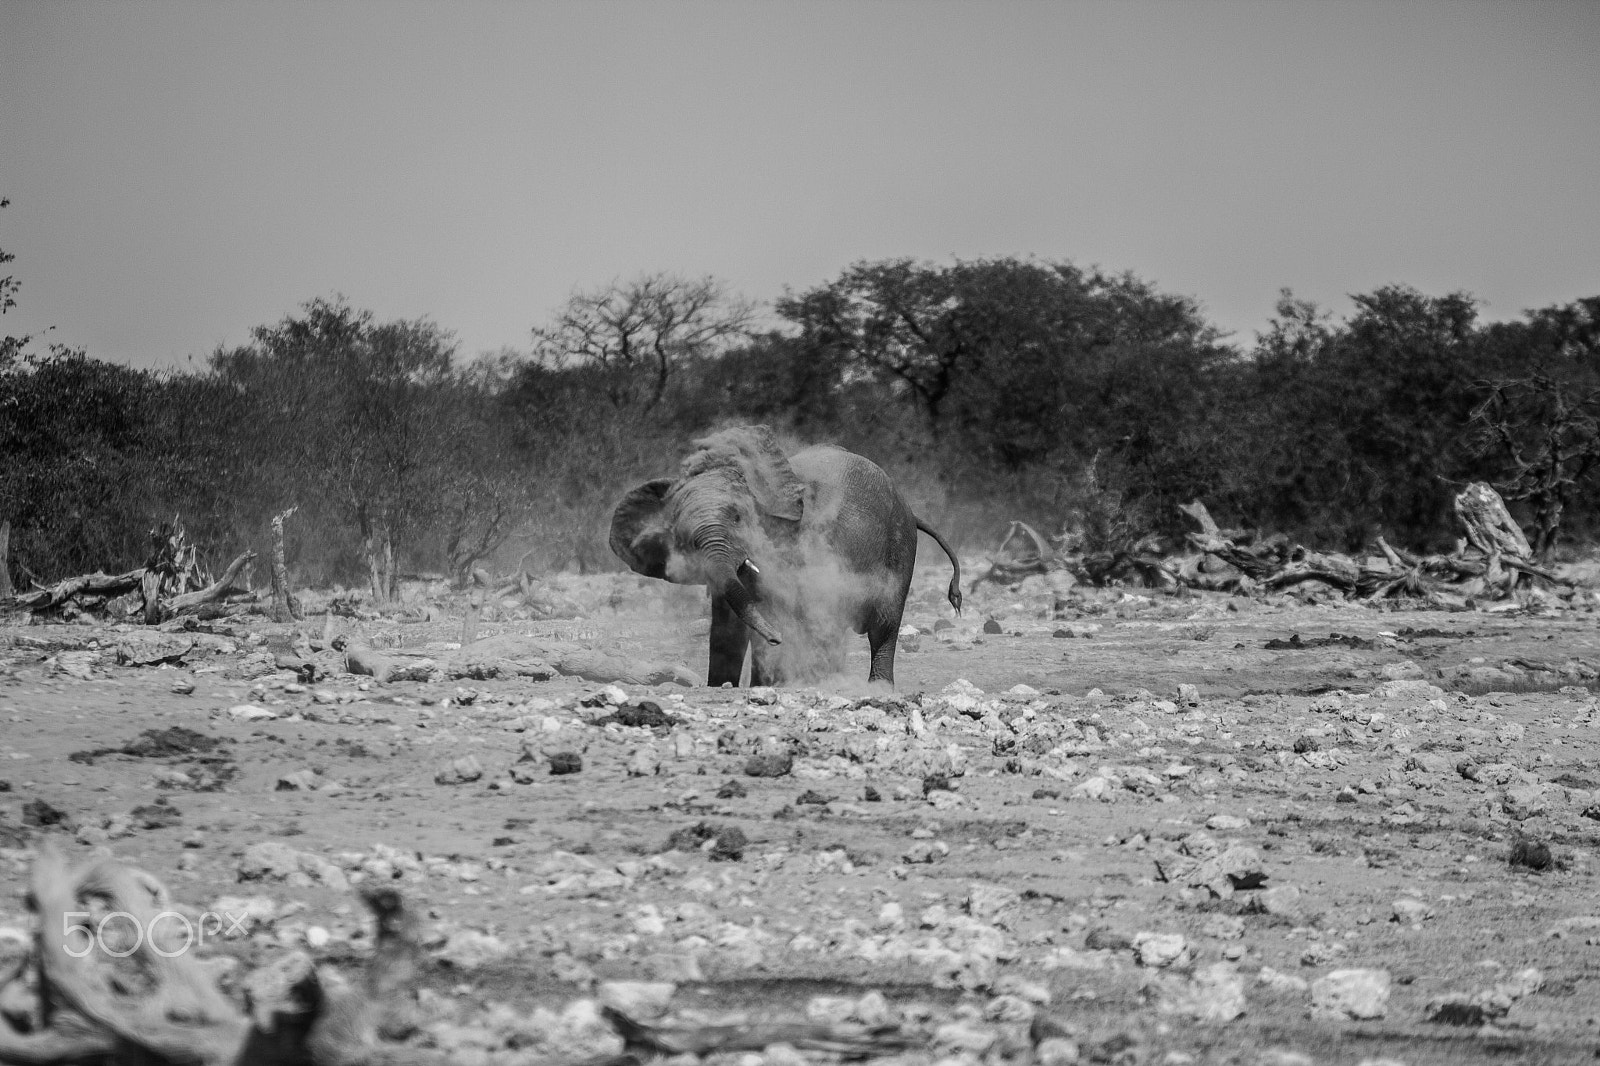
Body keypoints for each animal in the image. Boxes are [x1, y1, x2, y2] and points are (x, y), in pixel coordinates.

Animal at [609, 425, 962, 686]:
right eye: (684, 540)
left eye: (739, 518)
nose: (777, 639)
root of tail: (911, 509)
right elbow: (728, 623)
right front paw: (724, 685)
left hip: (899, 545)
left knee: (882, 624)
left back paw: (874, 688)